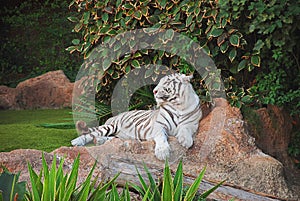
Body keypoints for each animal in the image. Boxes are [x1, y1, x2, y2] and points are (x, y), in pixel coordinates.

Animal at [71, 74, 202, 160]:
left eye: (165, 82)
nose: (154, 91)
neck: (178, 105)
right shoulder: (159, 126)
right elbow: (161, 137)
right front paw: (162, 152)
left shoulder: (193, 123)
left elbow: (186, 128)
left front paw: (186, 141)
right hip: (111, 126)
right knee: (91, 134)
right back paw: (76, 142)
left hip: (121, 136)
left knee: (113, 139)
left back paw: (99, 141)